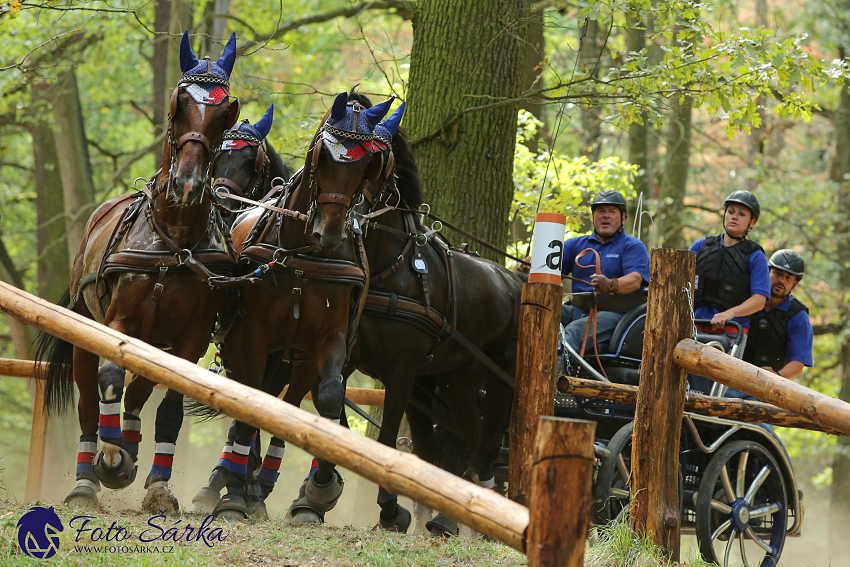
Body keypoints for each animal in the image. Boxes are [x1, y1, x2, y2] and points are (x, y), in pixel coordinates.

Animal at [34, 32, 240, 516]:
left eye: (225, 113)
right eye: (178, 105)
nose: (187, 184)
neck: (174, 238)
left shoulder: (189, 337)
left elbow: (169, 407)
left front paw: (157, 486)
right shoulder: (118, 322)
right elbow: (108, 379)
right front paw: (108, 462)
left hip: (155, 340)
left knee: (140, 394)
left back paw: (127, 445)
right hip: (89, 327)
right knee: (90, 398)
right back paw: (90, 474)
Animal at [205, 91, 394, 520]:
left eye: (368, 165)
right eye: (322, 157)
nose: (330, 232)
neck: (303, 254)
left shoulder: (327, 339)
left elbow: (328, 398)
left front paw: (320, 487)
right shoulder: (251, 336)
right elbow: (251, 403)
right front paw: (234, 494)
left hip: (295, 357)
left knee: (290, 402)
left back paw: (262, 482)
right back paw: (236, 481)